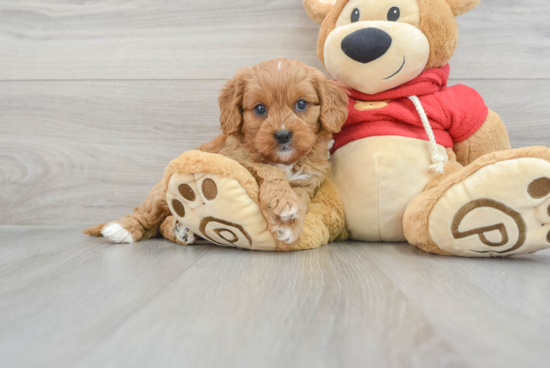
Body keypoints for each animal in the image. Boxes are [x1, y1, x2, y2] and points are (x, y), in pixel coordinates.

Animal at [85, 59, 350, 247]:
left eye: (301, 104)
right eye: (260, 109)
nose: (283, 135)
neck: (285, 160)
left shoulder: (309, 181)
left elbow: (301, 199)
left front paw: (290, 226)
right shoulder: (236, 160)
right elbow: (268, 169)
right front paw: (283, 201)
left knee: (162, 224)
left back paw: (181, 230)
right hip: (161, 192)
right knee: (146, 214)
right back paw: (122, 229)